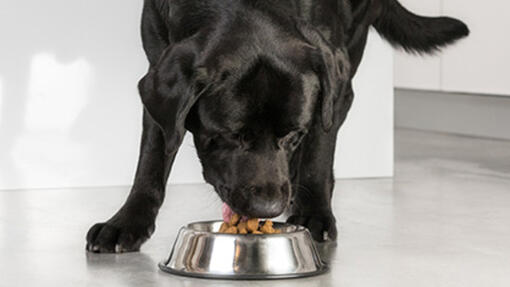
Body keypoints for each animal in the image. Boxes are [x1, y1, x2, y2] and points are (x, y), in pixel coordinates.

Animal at [85, 0, 468, 254]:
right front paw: (126, 223)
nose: (268, 207)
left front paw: (314, 214)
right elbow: (151, 160)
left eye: (294, 135)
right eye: (230, 136)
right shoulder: (158, 68)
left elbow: (318, 153)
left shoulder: (331, 76)